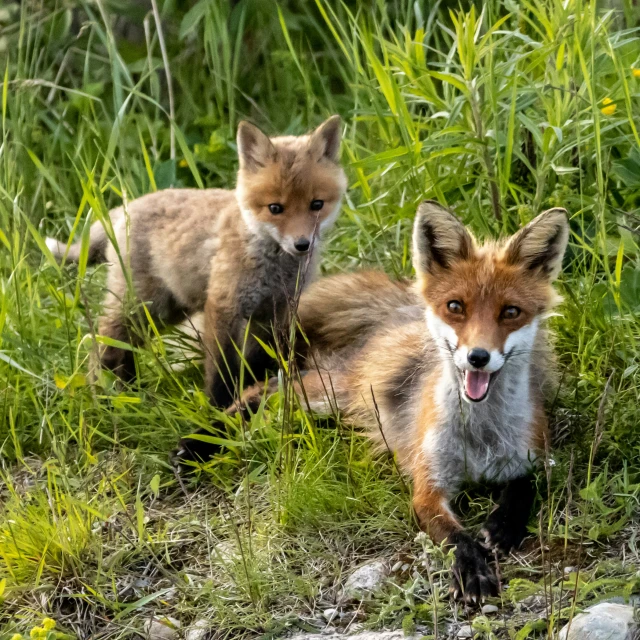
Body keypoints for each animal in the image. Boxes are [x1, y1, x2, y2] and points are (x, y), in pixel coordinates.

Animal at [47, 115, 348, 410]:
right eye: (275, 208)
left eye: (316, 204)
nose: (302, 244)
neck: (274, 268)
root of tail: (124, 208)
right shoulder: (224, 306)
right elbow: (221, 368)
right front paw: (220, 406)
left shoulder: (276, 313)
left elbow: (258, 361)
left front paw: (256, 391)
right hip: (142, 304)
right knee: (105, 338)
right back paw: (106, 395)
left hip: (166, 310)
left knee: (126, 344)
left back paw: (129, 390)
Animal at [231, 202, 568, 604]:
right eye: (456, 306)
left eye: (510, 312)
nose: (478, 357)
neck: (481, 436)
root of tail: (399, 310)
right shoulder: (427, 486)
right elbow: (457, 539)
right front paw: (473, 571)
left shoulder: (535, 455)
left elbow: (525, 487)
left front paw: (502, 526)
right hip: (330, 396)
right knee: (266, 392)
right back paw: (204, 439)